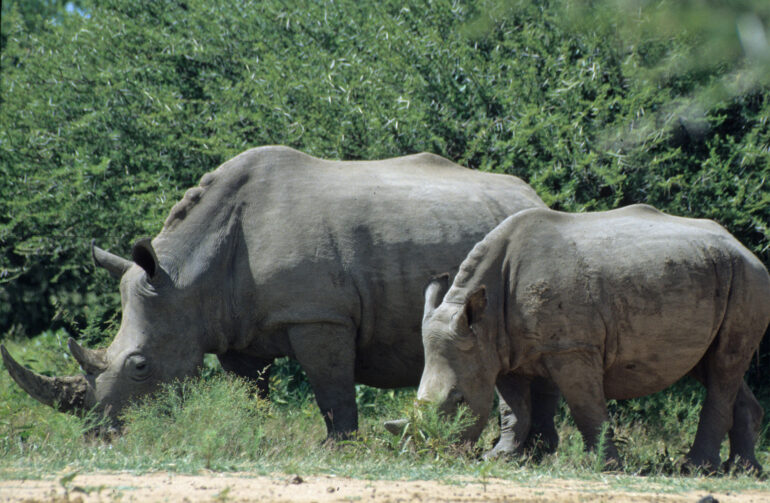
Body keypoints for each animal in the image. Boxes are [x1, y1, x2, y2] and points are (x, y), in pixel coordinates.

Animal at [3, 145, 557, 448]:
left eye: (139, 366)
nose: (100, 439)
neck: (187, 276)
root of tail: (532, 194)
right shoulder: (232, 328)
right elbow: (250, 390)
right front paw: (248, 432)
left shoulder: (318, 314)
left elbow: (331, 386)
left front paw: (337, 448)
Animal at [414, 204, 770, 472]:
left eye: (459, 399)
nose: (433, 448)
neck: (483, 320)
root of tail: (744, 248)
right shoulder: (500, 349)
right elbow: (513, 408)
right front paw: (500, 457)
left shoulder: (572, 348)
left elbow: (585, 405)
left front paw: (604, 466)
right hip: (718, 273)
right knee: (714, 364)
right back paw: (743, 470)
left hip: (747, 278)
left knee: (724, 364)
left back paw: (696, 469)